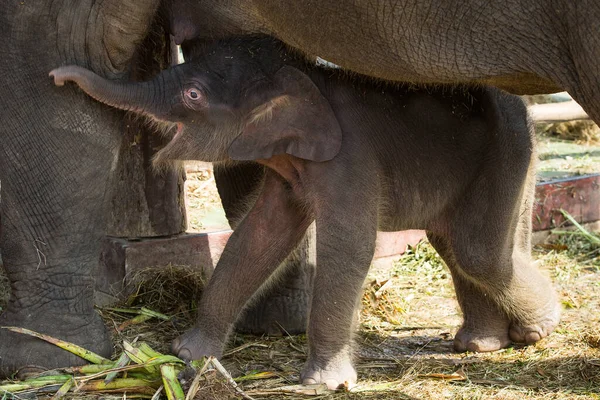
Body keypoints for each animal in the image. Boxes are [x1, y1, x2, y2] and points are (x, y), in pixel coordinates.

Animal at [49, 36, 560, 390]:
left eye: (193, 95)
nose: (56, 77)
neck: (307, 75)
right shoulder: (289, 167)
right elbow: (260, 235)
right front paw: (189, 354)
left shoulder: (350, 158)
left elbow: (350, 244)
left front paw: (323, 384)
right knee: (455, 244)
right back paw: (481, 343)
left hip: (510, 150)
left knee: (478, 251)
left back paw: (538, 328)